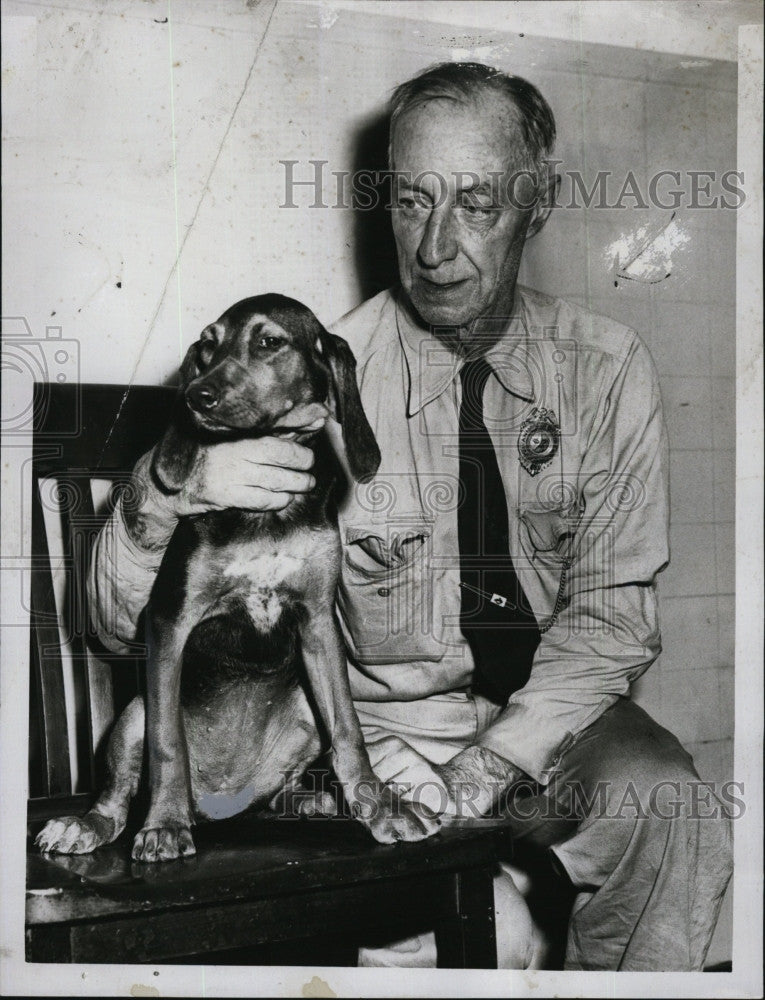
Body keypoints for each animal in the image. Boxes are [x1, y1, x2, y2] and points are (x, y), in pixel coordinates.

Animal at [37, 294, 442, 860]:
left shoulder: (318, 624)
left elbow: (348, 730)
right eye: (207, 346)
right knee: (119, 795)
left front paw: (381, 807)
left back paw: (315, 800)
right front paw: (164, 825)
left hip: (303, 709)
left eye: (270, 341)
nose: (195, 397)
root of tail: (222, 804)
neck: (263, 519)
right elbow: (168, 743)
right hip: (133, 714)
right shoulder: (170, 621)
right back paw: (92, 824)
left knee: (285, 787)